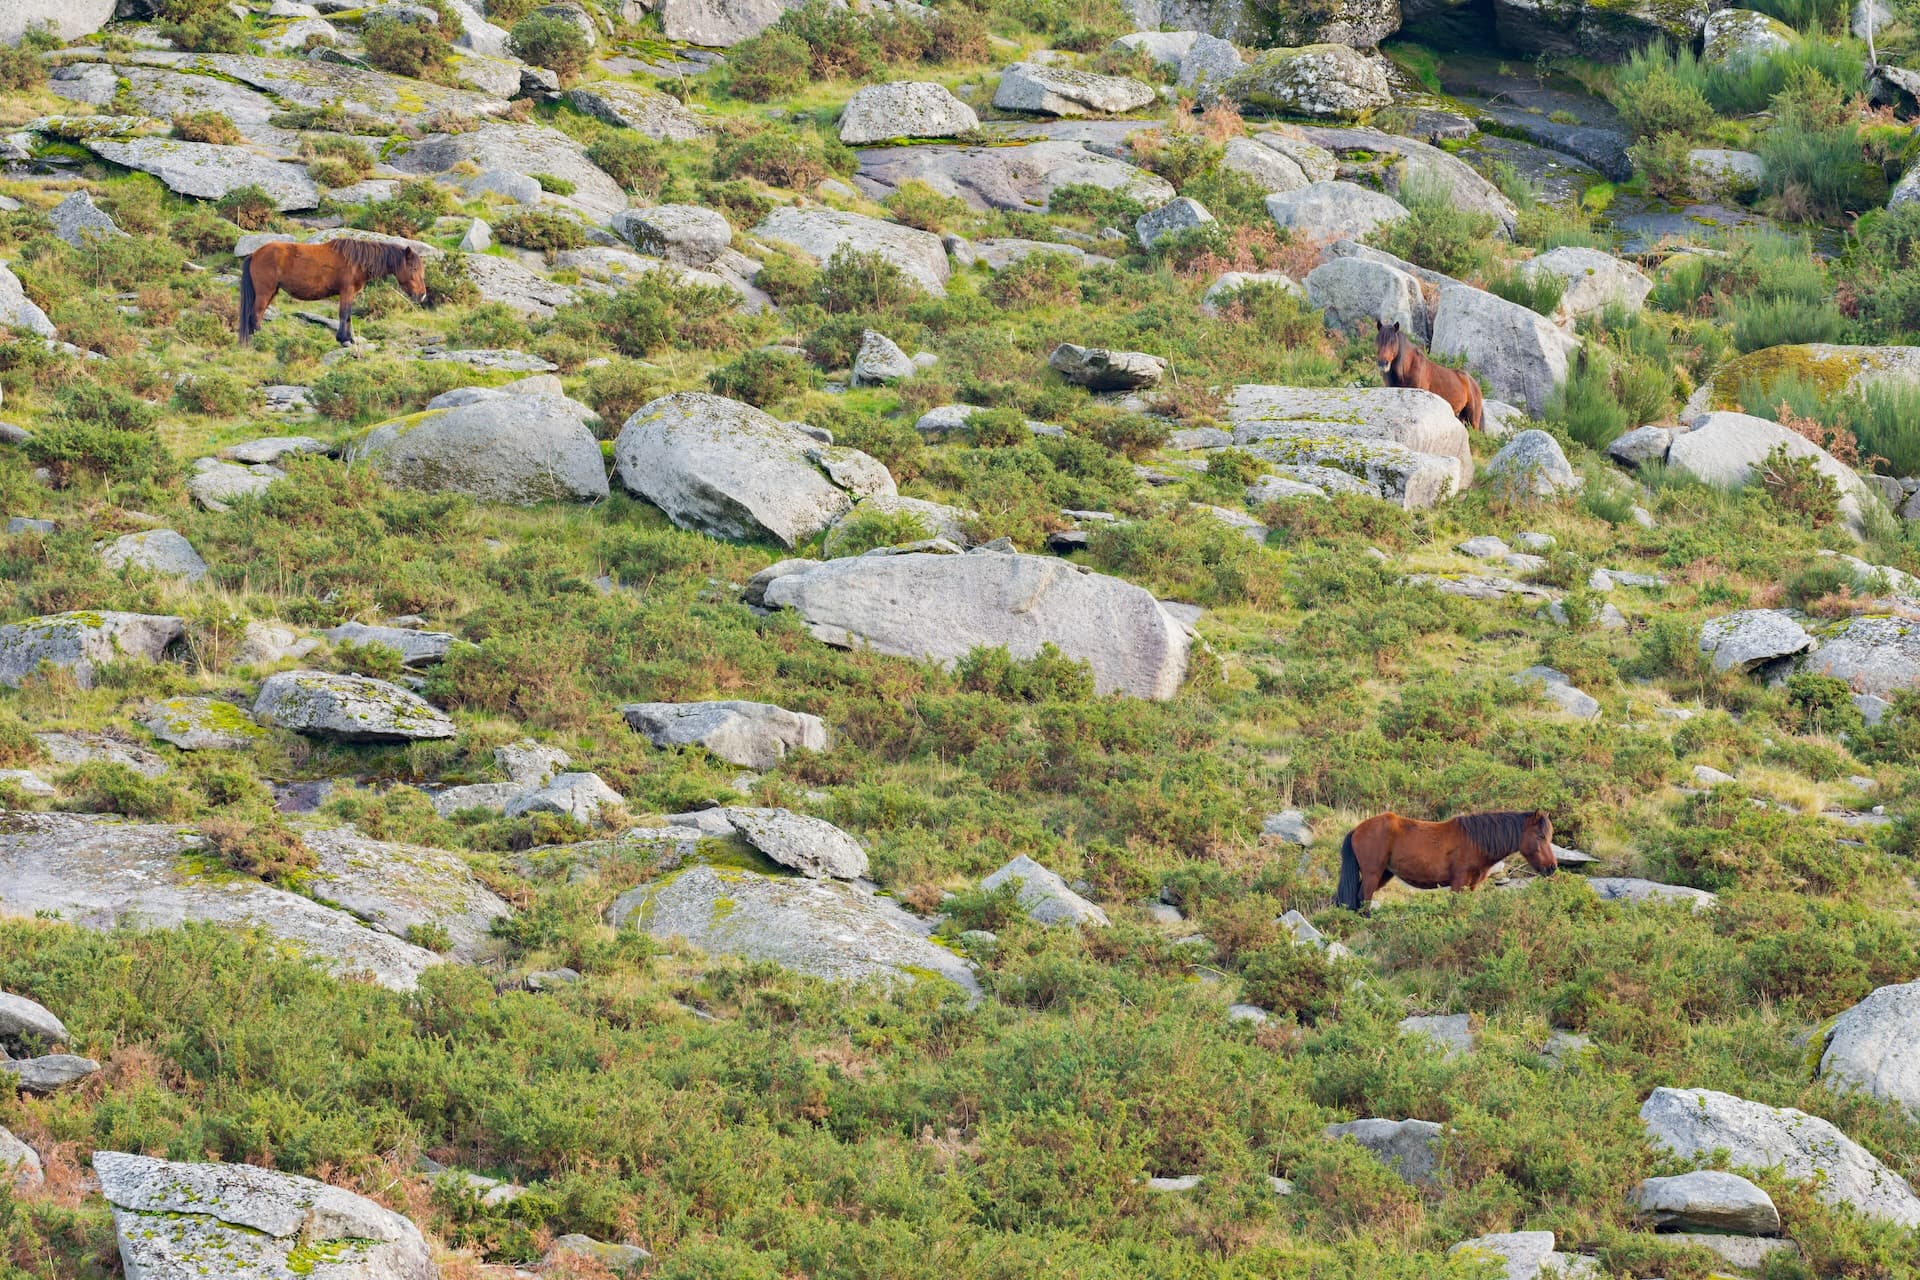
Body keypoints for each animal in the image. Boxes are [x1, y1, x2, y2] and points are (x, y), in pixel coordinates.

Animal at [239, 239, 427, 346]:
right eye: (414, 268)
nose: (422, 295)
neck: (356, 262)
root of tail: (254, 254)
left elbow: (348, 316)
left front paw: (348, 338)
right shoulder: (347, 291)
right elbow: (344, 314)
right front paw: (344, 339)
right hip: (265, 292)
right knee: (255, 316)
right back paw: (262, 340)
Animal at [1336, 810, 1556, 910]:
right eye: (1540, 836)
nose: (1552, 868)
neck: (1476, 841)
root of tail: (1357, 830)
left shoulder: (1472, 885)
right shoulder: (1458, 882)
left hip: (1383, 874)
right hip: (1373, 874)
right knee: (1363, 899)